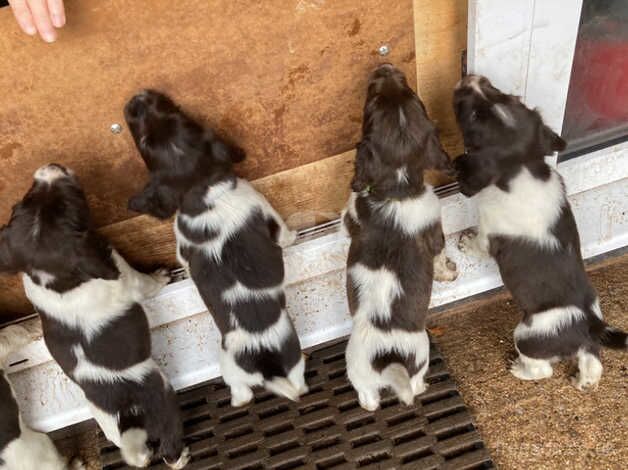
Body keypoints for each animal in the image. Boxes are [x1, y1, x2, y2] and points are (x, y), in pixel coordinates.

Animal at [122, 90, 306, 406]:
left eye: (175, 116)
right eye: (144, 140)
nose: (138, 97)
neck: (202, 190)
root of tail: (265, 365)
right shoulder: (263, 207)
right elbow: (284, 234)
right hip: (258, 365)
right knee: (249, 394)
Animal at [340, 63, 458, 412]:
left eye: (409, 94)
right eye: (374, 100)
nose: (386, 66)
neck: (398, 190)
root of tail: (386, 360)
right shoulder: (435, 232)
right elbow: (441, 255)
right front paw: (449, 272)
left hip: (358, 371)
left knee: (368, 399)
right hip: (421, 352)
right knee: (414, 384)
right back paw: (423, 386)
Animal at [454, 73, 624, 390]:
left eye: (473, 117)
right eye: (508, 95)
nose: (473, 78)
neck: (523, 168)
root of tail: (589, 324)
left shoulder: (489, 233)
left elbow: (477, 242)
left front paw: (464, 242)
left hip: (528, 335)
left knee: (542, 369)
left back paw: (519, 369)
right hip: (588, 337)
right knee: (592, 357)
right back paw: (585, 382)